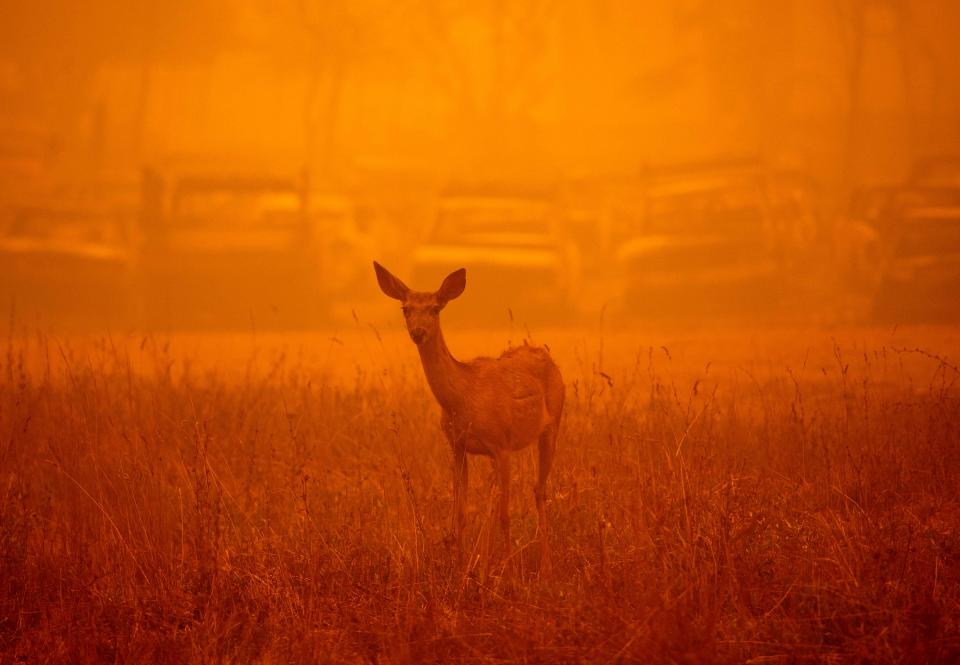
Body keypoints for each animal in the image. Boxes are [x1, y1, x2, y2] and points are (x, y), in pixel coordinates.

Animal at [374, 262, 568, 572]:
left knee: (538, 490)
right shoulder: (458, 446)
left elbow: (505, 514)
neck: (463, 399)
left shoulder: (502, 446)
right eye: (405, 308)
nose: (418, 332)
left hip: (553, 425)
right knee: (497, 497)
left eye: (435, 308)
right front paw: (460, 566)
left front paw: (509, 572)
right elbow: (462, 513)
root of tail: (546, 355)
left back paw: (546, 566)